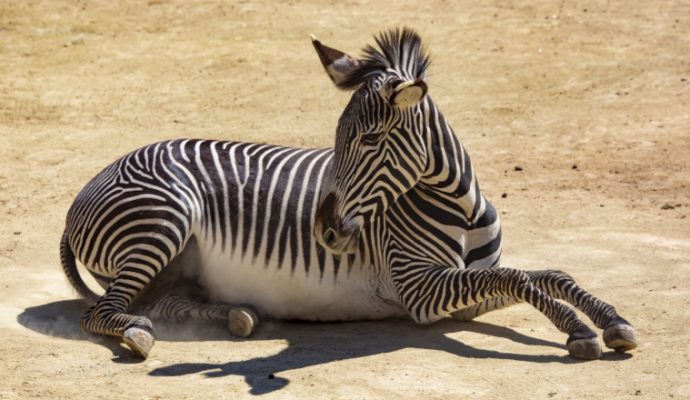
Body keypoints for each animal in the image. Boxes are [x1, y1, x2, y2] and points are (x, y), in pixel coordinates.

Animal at [61, 28, 636, 360]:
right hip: (162, 219)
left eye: (370, 140)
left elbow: (546, 274)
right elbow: (521, 277)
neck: (462, 209)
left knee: (168, 301)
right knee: (103, 313)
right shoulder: (421, 292)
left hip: (176, 263)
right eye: (336, 137)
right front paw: (579, 331)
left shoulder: (463, 293)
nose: (325, 231)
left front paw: (610, 320)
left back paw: (237, 316)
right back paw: (138, 333)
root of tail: (91, 185)